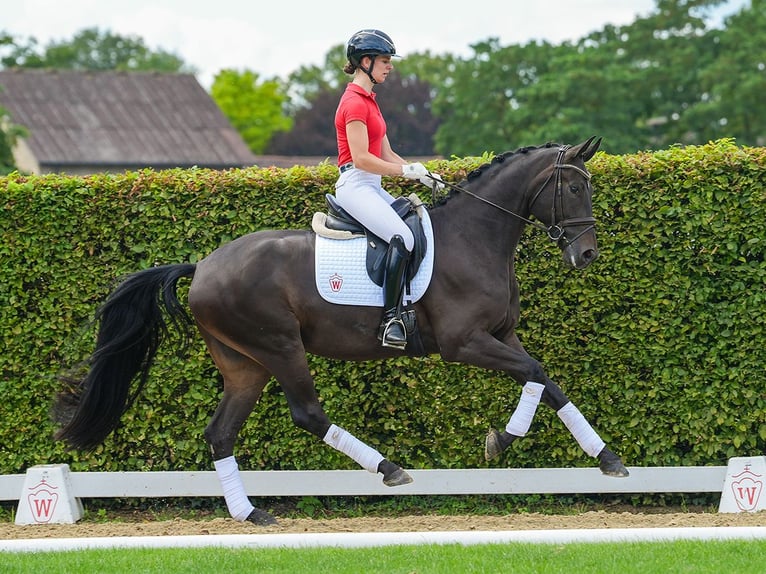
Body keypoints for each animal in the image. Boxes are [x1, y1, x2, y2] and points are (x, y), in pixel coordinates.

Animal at [54, 136, 632, 528]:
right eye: (573, 187)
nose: (586, 255)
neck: (476, 235)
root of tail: (203, 266)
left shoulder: (501, 336)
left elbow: (547, 381)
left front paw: (607, 460)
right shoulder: (463, 343)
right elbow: (535, 373)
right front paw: (502, 439)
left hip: (245, 364)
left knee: (221, 432)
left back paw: (251, 514)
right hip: (279, 346)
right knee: (307, 414)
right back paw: (389, 469)